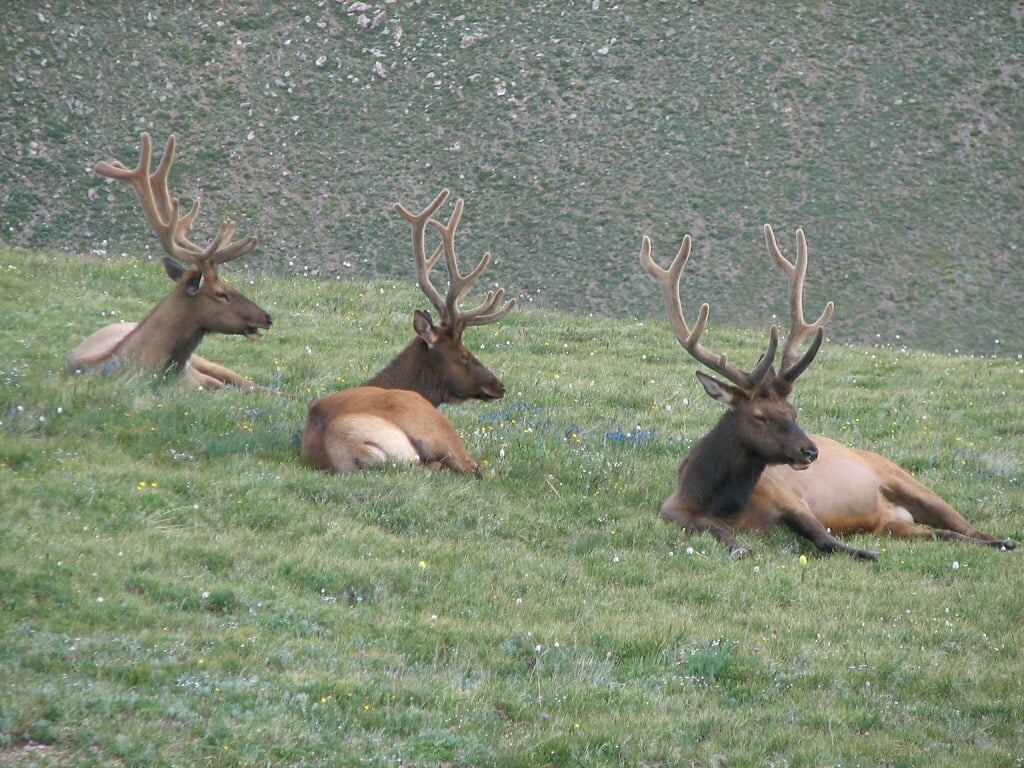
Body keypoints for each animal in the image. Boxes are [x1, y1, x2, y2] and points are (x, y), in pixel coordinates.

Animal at [640, 224, 1016, 560]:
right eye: (759, 416)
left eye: (794, 412)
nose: (810, 451)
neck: (716, 499)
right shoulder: (676, 513)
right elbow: (722, 536)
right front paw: (740, 547)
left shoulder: (792, 500)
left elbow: (824, 539)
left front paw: (865, 554)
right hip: (895, 524)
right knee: (943, 533)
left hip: (906, 480)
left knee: (966, 527)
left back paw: (1004, 541)